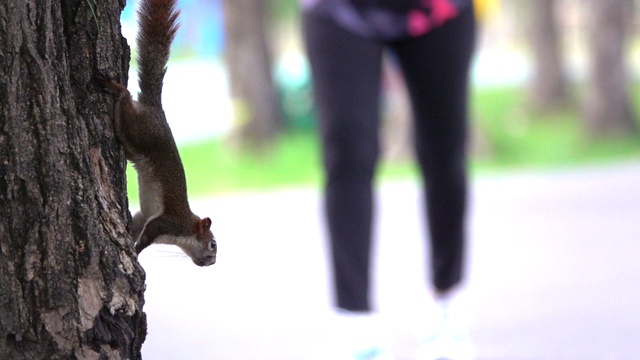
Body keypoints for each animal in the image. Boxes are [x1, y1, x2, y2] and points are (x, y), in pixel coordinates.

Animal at [97, 0, 216, 266]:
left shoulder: (146, 217)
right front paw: (137, 251)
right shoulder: (167, 223)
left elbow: (137, 224)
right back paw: (117, 89)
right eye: (213, 244)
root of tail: (155, 109)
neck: (186, 229)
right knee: (126, 102)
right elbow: (147, 235)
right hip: (138, 131)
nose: (212, 263)